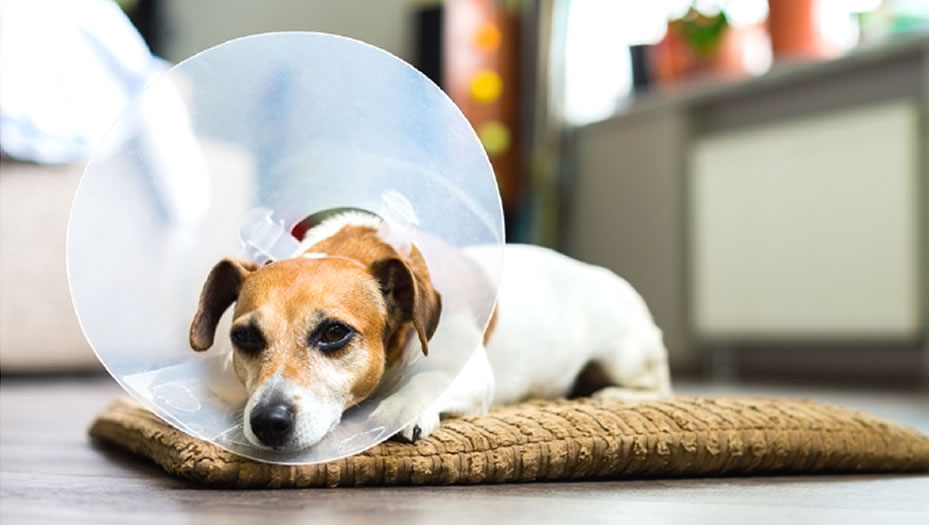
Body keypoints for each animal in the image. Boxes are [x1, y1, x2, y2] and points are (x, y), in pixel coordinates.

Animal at [188, 211, 672, 448]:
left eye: (334, 333)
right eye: (244, 338)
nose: (267, 422)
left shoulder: (468, 370)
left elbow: (429, 383)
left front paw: (401, 410)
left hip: (625, 356)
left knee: (657, 388)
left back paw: (610, 395)